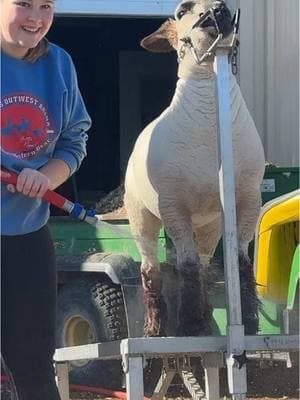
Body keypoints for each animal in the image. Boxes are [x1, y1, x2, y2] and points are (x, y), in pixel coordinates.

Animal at [123, 0, 264, 338]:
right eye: (181, 10)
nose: (218, 10)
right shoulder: (174, 205)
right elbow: (184, 265)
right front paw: (186, 325)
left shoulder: (248, 198)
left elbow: (239, 260)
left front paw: (249, 321)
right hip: (140, 214)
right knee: (150, 267)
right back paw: (155, 327)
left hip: (209, 223)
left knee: (203, 266)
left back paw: (204, 317)